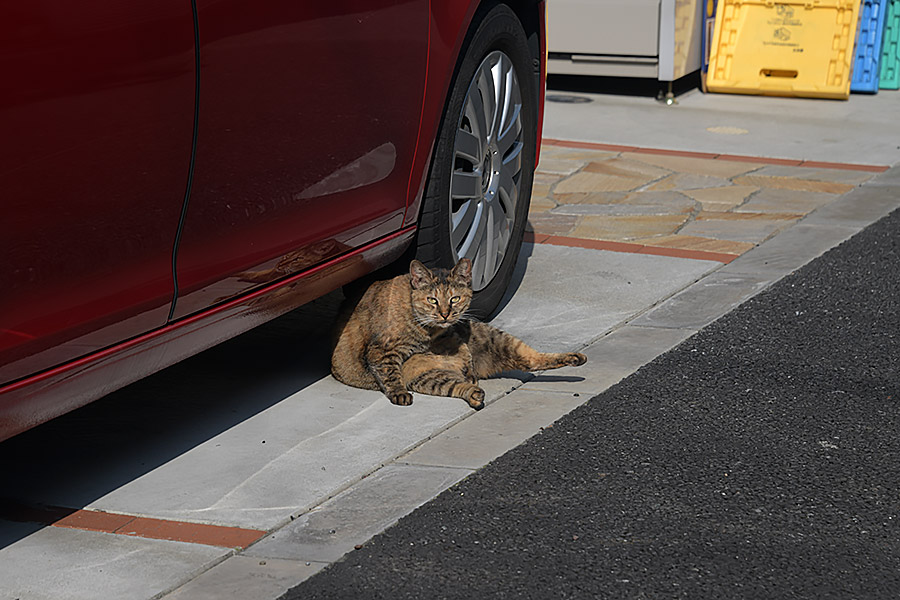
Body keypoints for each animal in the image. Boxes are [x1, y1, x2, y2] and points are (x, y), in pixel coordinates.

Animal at [328, 255, 584, 410]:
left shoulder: (452, 333)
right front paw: (399, 393)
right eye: (432, 300)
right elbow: (390, 373)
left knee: (532, 359)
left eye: (455, 299)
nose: (444, 314)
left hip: (493, 338)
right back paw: (474, 393)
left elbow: (460, 346)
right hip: (432, 378)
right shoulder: (380, 351)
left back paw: (576, 358)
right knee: (461, 385)